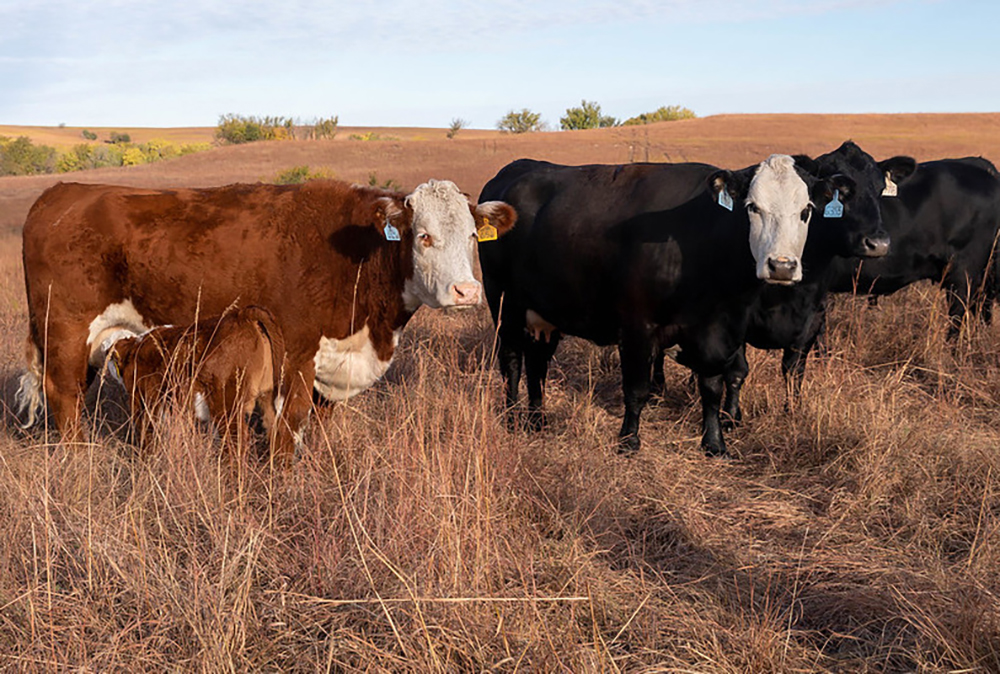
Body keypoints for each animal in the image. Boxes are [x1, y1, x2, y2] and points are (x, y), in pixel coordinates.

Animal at [17, 178, 516, 462]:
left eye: (472, 235)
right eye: (423, 236)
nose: (467, 292)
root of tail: (61, 192)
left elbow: (315, 426)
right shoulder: (293, 352)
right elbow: (287, 424)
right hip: (63, 330)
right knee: (63, 395)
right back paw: (78, 462)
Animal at [478, 152, 876, 454]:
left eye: (806, 209)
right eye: (752, 207)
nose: (781, 266)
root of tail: (513, 170)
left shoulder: (719, 330)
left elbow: (713, 387)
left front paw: (714, 443)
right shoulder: (638, 325)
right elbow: (636, 387)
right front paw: (629, 440)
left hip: (544, 313)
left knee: (537, 363)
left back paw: (537, 418)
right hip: (504, 304)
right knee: (512, 360)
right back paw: (513, 417)